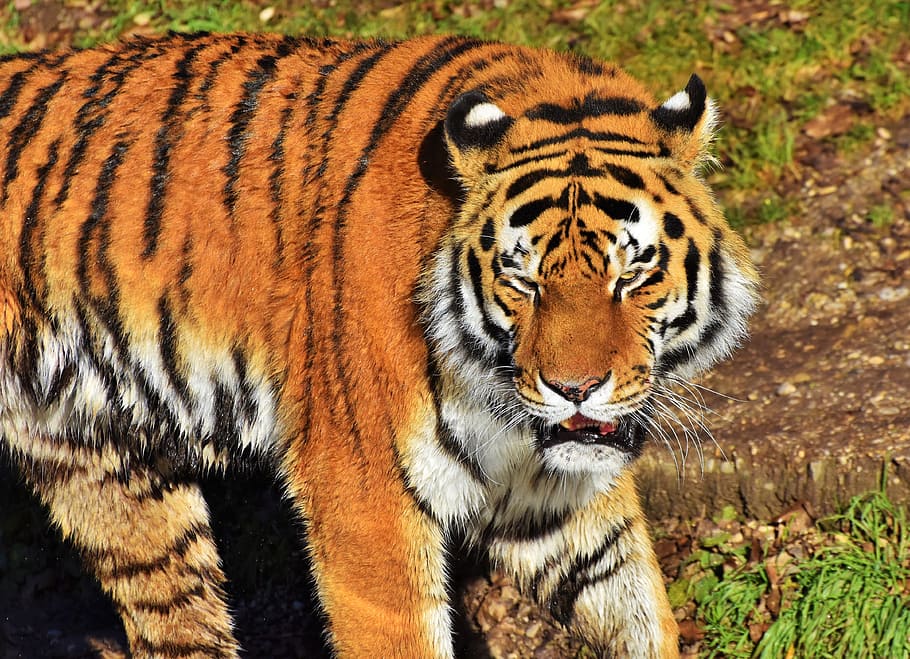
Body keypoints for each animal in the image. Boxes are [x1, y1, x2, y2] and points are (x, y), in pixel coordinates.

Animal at [0, 32, 758, 658]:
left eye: (632, 274)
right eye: (523, 278)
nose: (574, 389)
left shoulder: (550, 497)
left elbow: (638, 609)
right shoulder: (365, 502)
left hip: (107, 475)